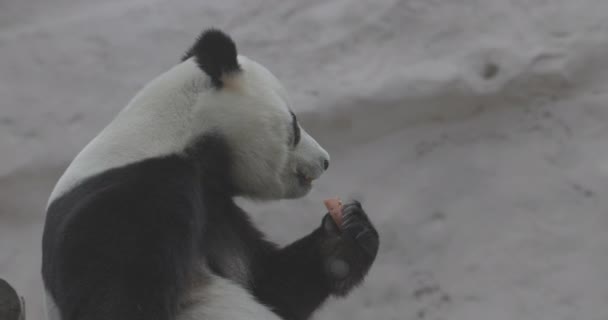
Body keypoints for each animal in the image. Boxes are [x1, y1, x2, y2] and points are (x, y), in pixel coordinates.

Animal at [41, 28, 376, 320]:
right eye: (294, 125)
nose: (325, 160)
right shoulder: (129, 202)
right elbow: (117, 298)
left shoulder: (217, 209)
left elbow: (270, 285)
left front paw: (348, 231)